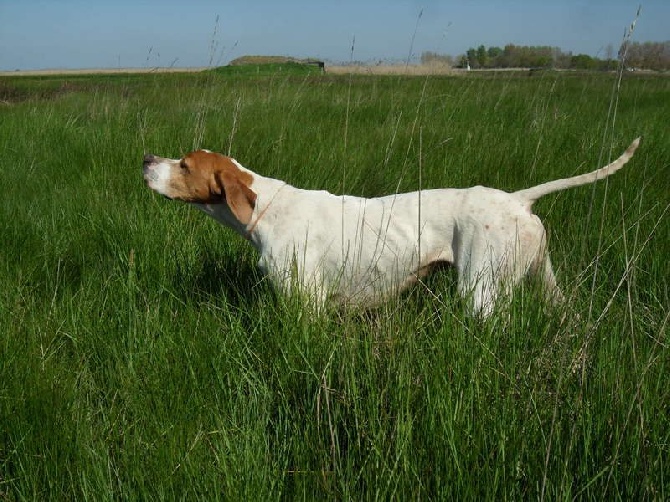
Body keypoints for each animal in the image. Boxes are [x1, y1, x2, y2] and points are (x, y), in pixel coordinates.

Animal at [146, 139, 640, 316]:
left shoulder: (306, 301)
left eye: (184, 164)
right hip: (544, 280)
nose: (147, 159)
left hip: (482, 291)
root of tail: (519, 199)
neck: (267, 208)